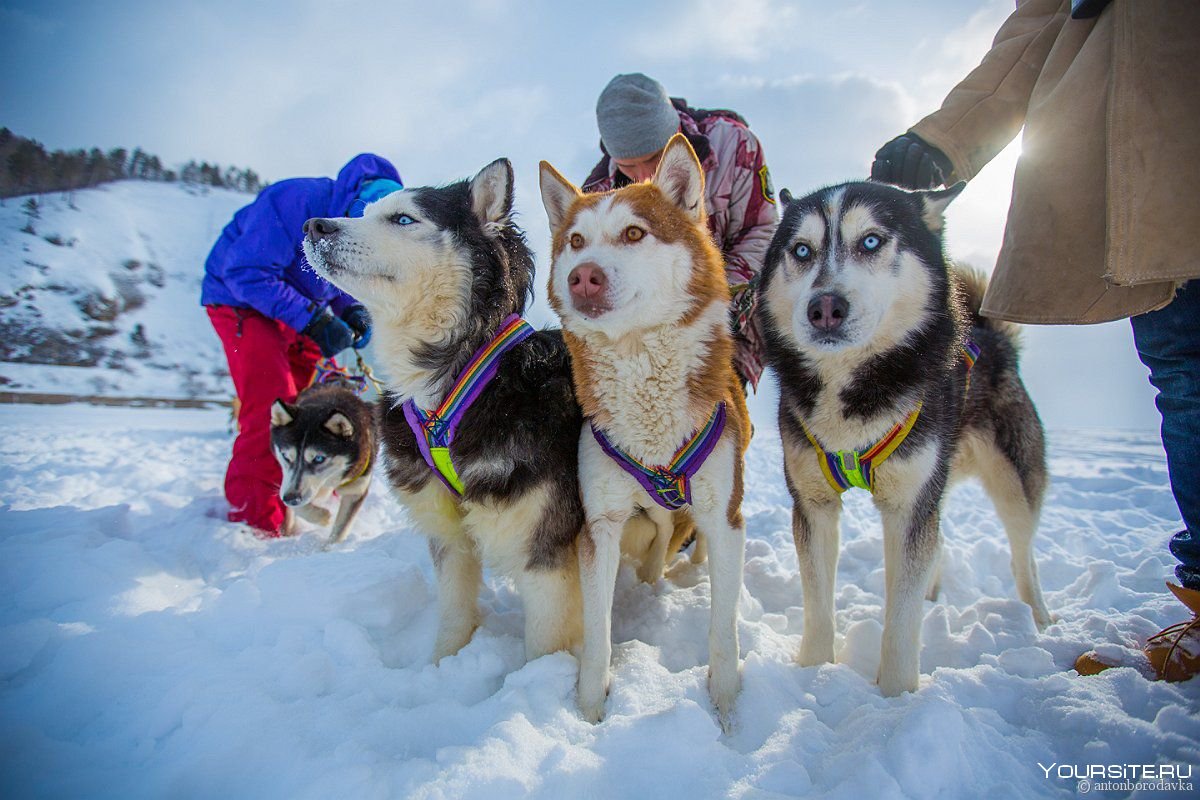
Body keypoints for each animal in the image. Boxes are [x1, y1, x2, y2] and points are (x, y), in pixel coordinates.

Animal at [272, 383, 374, 546]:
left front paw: (330, 548)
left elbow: (340, 529)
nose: (291, 497)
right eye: (286, 456)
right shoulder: (287, 484)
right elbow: (294, 504)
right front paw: (321, 516)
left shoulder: (356, 489)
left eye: (319, 458)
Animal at [297, 158, 583, 662]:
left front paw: (542, 682)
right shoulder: (448, 534)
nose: (314, 225)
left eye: (402, 219)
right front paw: (443, 666)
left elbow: (544, 646)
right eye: (364, 212)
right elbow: (454, 615)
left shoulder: (544, 547)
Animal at [542, 136, 748, 724]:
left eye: (634, 233)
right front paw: (590, 706)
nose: (582, 275)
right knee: (659, 528)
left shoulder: (724, 517)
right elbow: (597, 630)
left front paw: (728, 707)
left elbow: (723, 628)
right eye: (576, 241)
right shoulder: (602, 522)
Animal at [758, 179, 1051, 695]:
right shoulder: (813, 504)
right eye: (802, 250)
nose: (824, 308)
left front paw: (895, 696)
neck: (853, 396)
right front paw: (813, 674)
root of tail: (994, 336)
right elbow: (818, 604)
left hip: (1013, 482)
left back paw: (1037, 618)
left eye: (871, 240)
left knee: (1023, 557)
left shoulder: (908, 506)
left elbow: (901, 617)